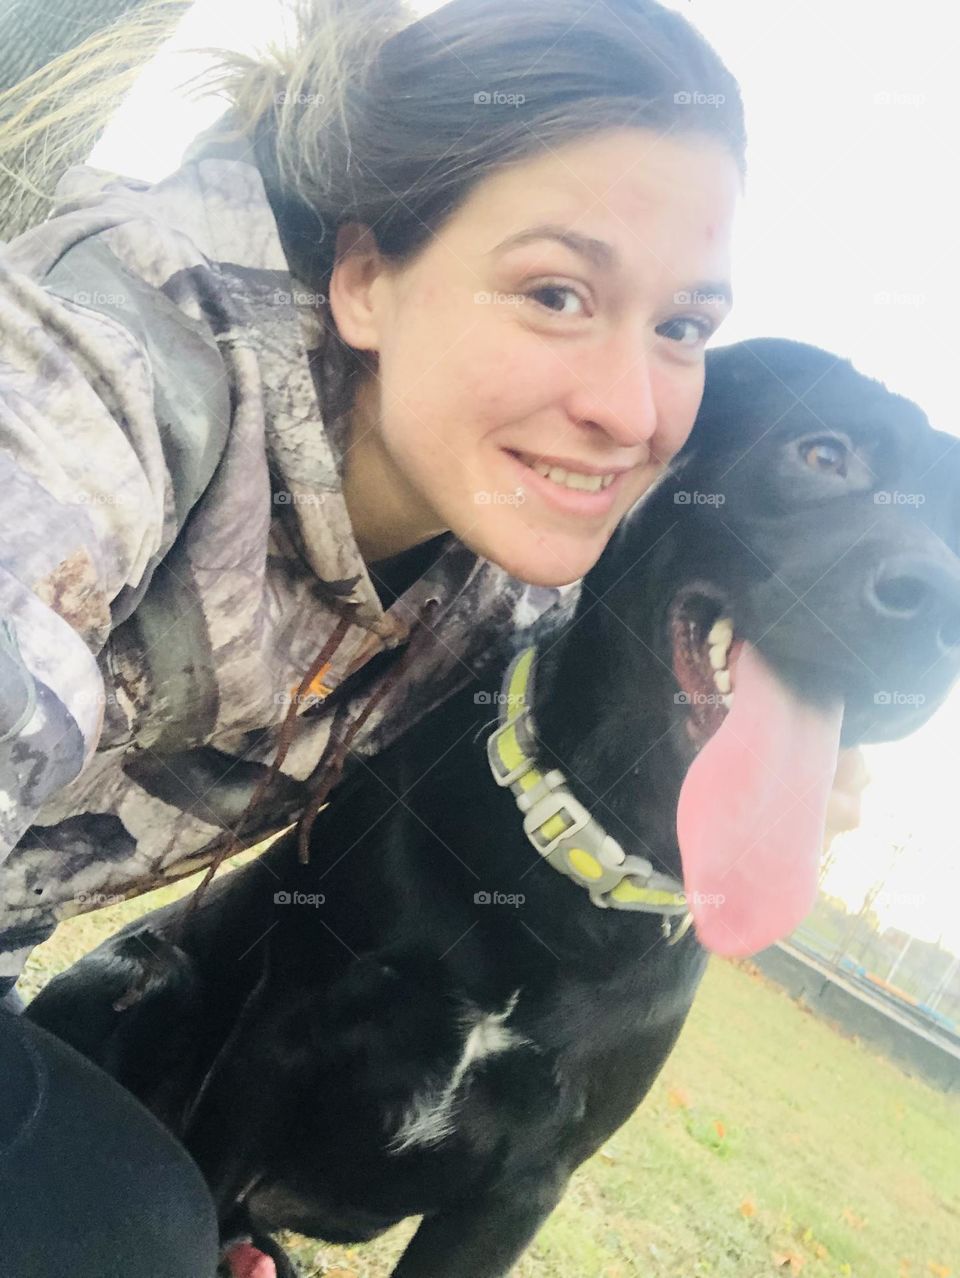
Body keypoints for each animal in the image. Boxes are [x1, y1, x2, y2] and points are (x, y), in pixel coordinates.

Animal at [26, 339, 960, 1278]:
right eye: (824, 455)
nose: (940, 615)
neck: (572, 861)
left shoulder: (521, 1188)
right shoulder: (277, 1044)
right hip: (153, 973)